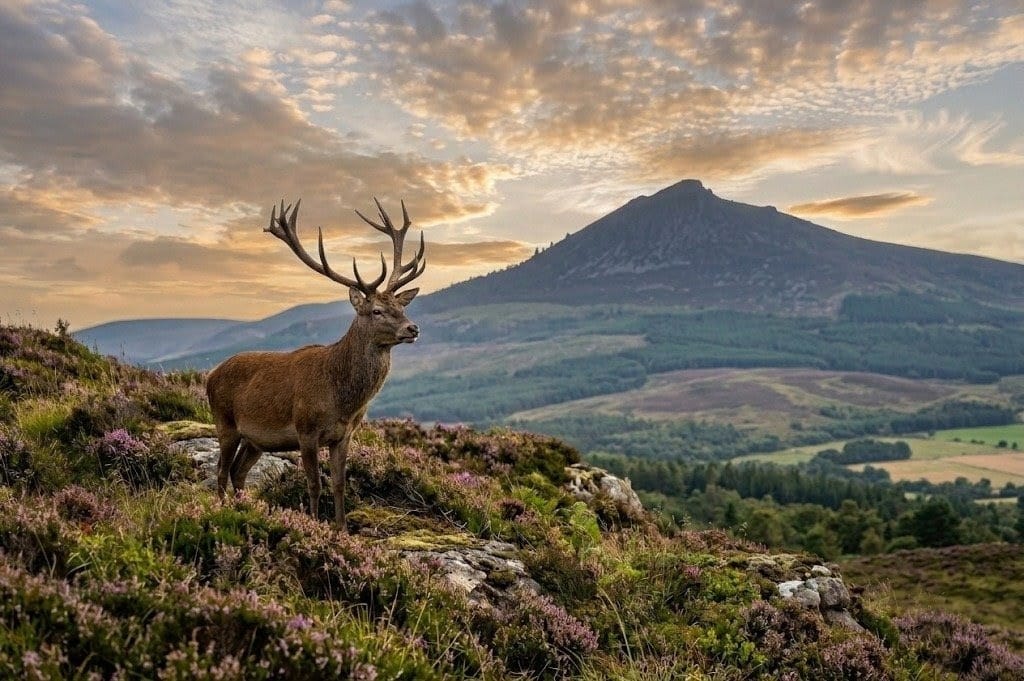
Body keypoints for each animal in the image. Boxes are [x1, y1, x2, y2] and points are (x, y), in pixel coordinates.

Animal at [205, 198, 426, 531]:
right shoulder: (305, 430)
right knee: (220, 471)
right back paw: (223, 511)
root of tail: (210, 376)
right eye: (376, 310)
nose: (412, 328)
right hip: (225, 421)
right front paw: (312, 523)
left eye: (401, 306)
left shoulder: (344, 434)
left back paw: (244, 508)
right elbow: (314, 483)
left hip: (255, 440)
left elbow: (339, 483)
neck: (341, 399)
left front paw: (342, 529)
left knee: (237, 471)